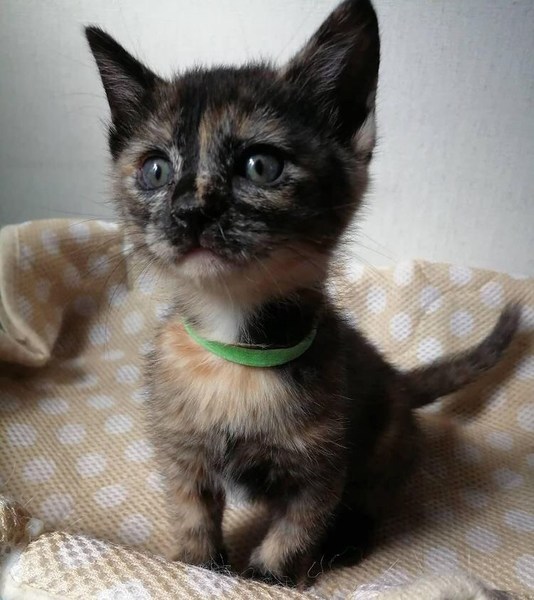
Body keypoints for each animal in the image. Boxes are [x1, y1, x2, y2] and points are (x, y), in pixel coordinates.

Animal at [85, 0, 520, 588]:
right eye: (155, 170)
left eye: (261, 165)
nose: (190, 210)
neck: (235, 354)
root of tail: (399, 381)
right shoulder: (181, 453)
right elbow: (192, 516)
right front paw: (197, 566)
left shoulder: (321, 470)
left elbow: (292, 535)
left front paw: (267, 578)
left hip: (387, 444)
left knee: (372, 494)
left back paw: (349, 541)